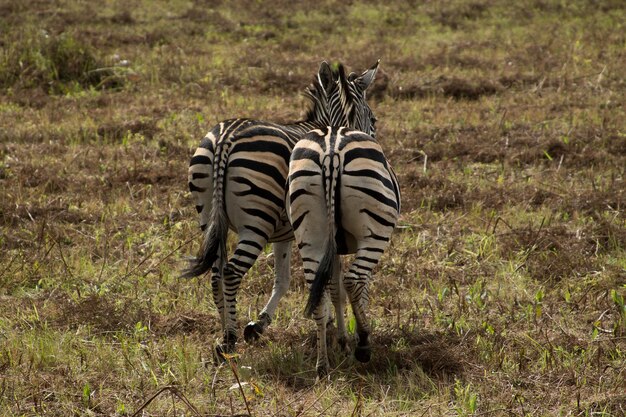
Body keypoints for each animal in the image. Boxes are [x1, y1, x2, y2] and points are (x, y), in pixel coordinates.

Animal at [182, 61, 380, 354]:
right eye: (373, 119)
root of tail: (225, 138)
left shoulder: (284, 234)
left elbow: (284, 279)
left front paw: (259, 324)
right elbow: (331, 282)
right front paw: (336, 330)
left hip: (208, 215)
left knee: (216, 273)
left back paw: (223, 336)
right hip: (257, 221)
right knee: (231, 273)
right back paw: (230, 338)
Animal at [286, 62, 398, 376]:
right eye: (373, 117)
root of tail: (332, 152)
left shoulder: (332, 245)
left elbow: (333, 290)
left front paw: (341, 342)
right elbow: (360, 289)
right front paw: (355, 340)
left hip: (310, 231)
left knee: (317, 289)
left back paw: (322, 365)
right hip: (375, 232)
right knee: (354, 279)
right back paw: (364, 345)